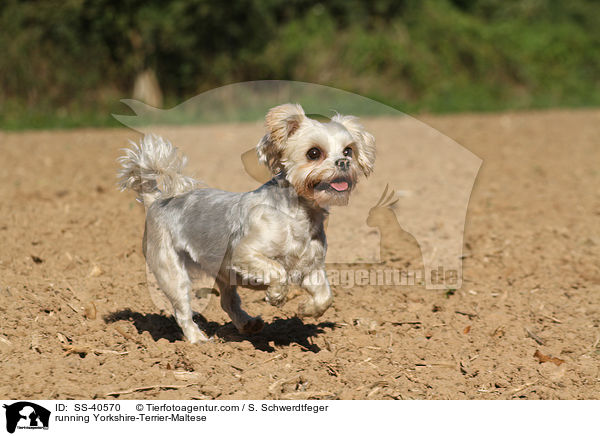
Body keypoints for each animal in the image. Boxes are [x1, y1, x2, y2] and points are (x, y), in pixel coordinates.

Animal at [117, 104, 376, 342]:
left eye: (348, 151)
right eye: (314, 153)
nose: (343, 162)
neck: (297, 218)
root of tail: (156, 201)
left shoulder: (310, 268)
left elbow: (326, 296)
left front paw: (307, 309)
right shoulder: (243, 255)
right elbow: (278, 271)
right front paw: (277, 296)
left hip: (222, 276)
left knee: (227, 302)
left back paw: (248, 324)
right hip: (172, 272)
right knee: (182, 311)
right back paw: (198, 340)